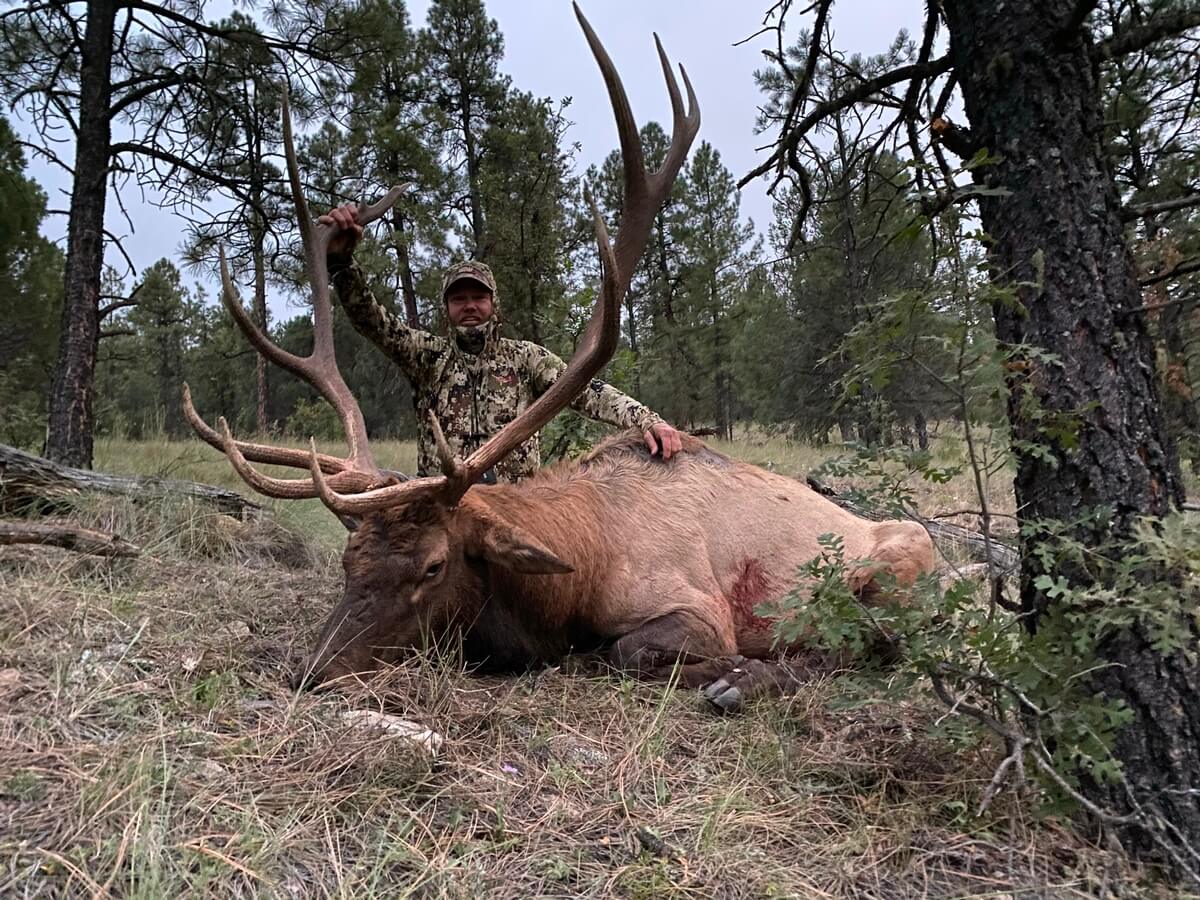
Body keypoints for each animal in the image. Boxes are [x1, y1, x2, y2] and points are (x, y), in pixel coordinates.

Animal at [181, 5, 936, 713]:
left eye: (432, 567)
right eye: (348, 560)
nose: (313, 673)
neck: (578, 575)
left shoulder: (701, 608)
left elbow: (623, 653)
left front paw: (723, 671)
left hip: (899, 567)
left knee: (875, 642)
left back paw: (747, 680)